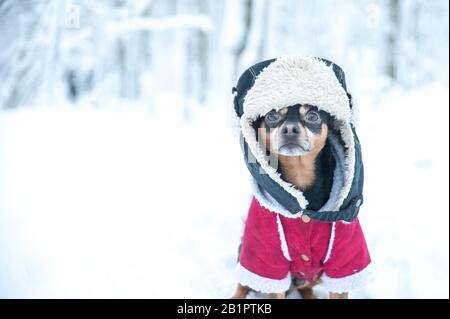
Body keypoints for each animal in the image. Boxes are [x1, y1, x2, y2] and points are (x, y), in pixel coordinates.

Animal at [232, 104, 348, 300]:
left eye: (313, 116)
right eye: (272, 115)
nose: (290, 129)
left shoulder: (343, 261)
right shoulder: (268, 262)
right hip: (247, 254)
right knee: (243, 284)